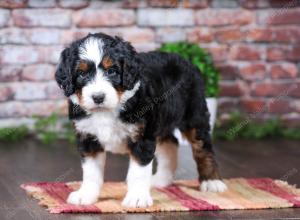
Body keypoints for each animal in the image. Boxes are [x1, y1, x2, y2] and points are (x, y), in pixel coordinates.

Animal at [55, 32, 226, 208]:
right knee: (170, 144)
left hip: (194, 115)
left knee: (203, 147)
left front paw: (137, 198)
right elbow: (91, 172)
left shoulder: (142, 136)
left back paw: (211, 181)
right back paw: (162, 179)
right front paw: (85, 195)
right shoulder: (88, 137)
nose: (98, 97)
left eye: (111, 71)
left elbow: (138, 172)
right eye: (82, 74)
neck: (108, 110)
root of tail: (186, 60)